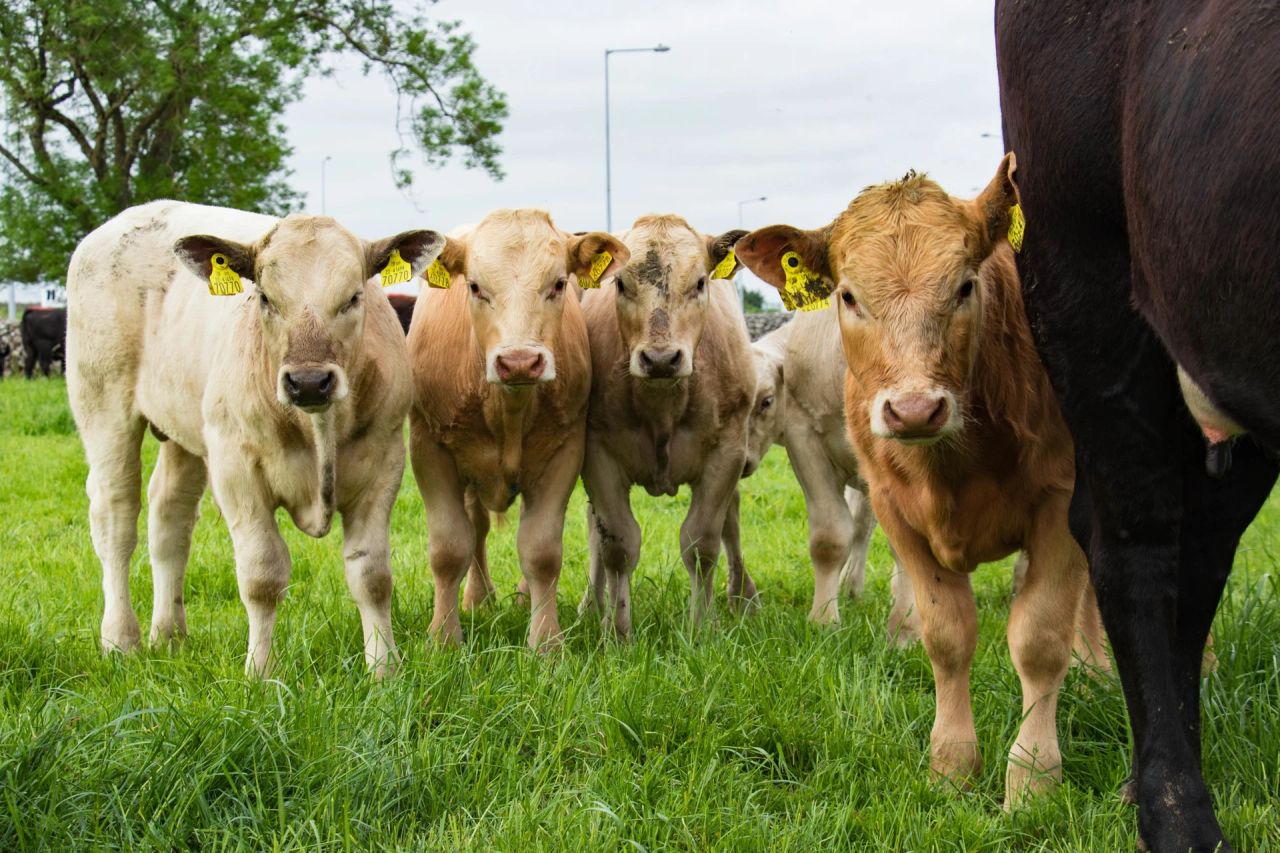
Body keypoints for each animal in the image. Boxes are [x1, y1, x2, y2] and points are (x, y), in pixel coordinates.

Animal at [66, 200, 441, 677]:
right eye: (264, 297)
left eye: (354, 296)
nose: (309, 383)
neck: (318, 428)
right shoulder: (236, 469)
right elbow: (262, 575)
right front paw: (260, 671)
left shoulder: (384, 462)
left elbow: (371, 575)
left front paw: (383, 670)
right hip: (104, 406)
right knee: (116, 519)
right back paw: (120, 639)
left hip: (184, 430)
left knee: (170, 518)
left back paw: (168, 635)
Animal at [407, 209, 628, 650]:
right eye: (475, 286)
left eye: (558, 283)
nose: (520, 362)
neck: (506, 408)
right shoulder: (428, 448)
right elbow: (449, 549)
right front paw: (444, 637)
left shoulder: (565, 450)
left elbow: (540, 550)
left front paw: (546, 642)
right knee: (475, 530)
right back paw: (477, 598)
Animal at [578, 215, 757, 637]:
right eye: (620, 284)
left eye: (700, 282)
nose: (660, 359)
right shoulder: (598, 456)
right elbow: (617, 545)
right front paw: (617, 630)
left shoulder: (726, 454)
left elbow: (702, 544)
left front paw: (701, 627)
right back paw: (591, 606)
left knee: (732, 521)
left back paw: (743, 598)